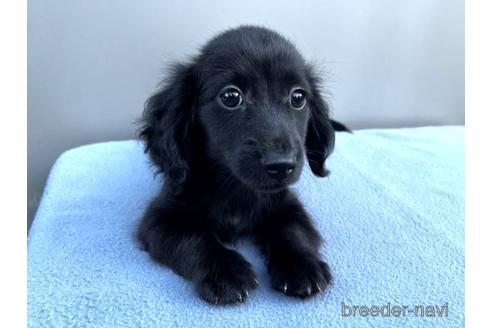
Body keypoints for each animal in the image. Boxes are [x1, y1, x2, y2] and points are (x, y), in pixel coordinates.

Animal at [136, 25, 348, 304]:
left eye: (298, 97)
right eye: (230, 96)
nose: (282, 165)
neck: (236, 187)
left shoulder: (286, 204)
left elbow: (292, 231)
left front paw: (302, 266)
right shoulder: (161, 217)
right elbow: (194, 238)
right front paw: (226, 271)